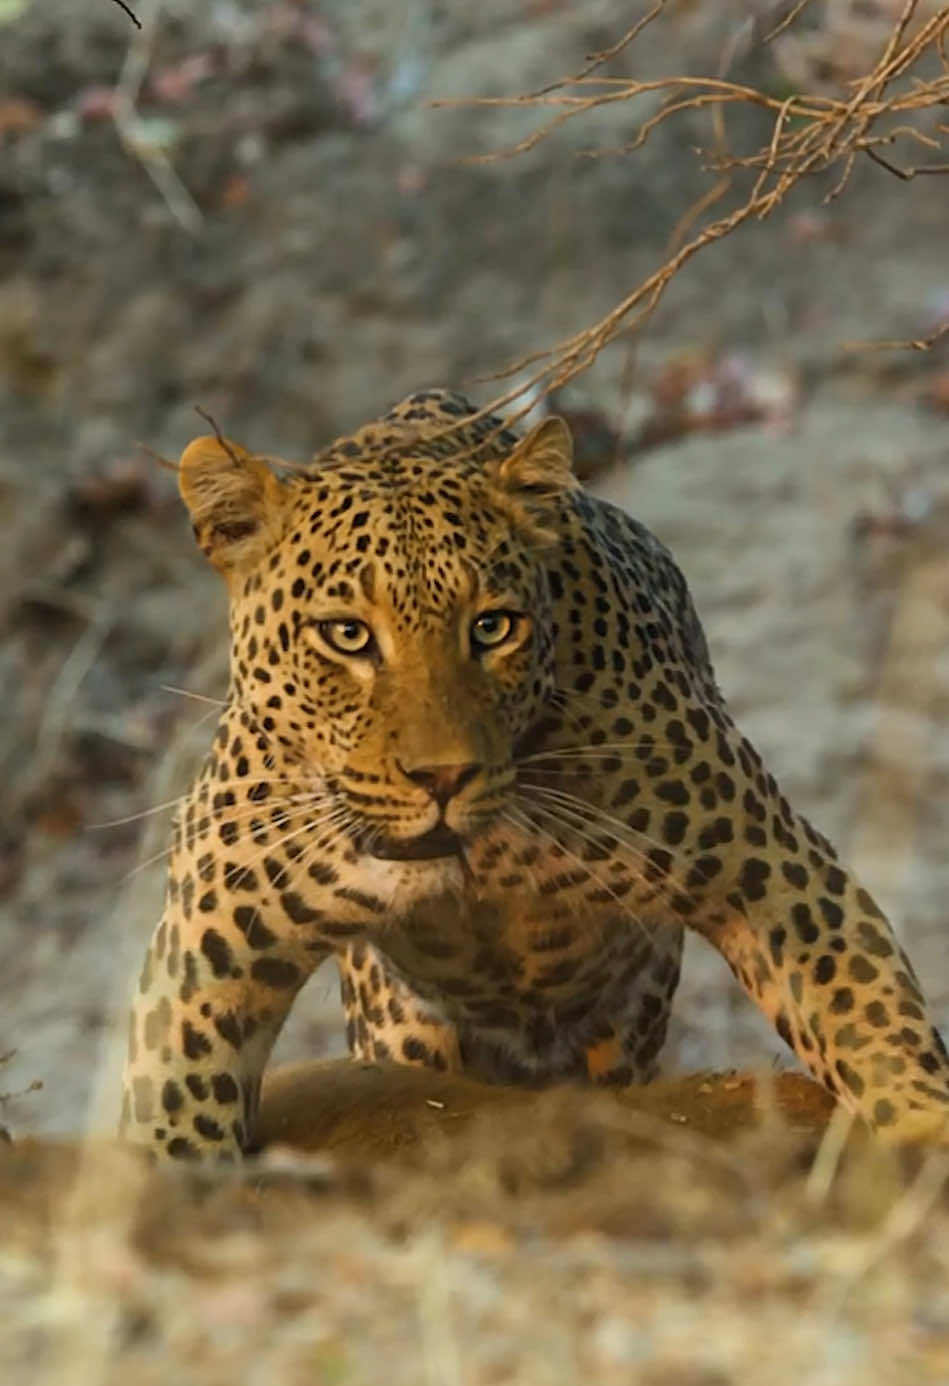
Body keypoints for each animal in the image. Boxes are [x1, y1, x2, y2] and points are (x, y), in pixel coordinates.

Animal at [120, 388, 949, 1161]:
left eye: (492, 627)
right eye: (347, 635)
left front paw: (919, 1140)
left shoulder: (769, 870)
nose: (442, 777)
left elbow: (866, 1012)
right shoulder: (211, 941)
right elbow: (173, 1103)